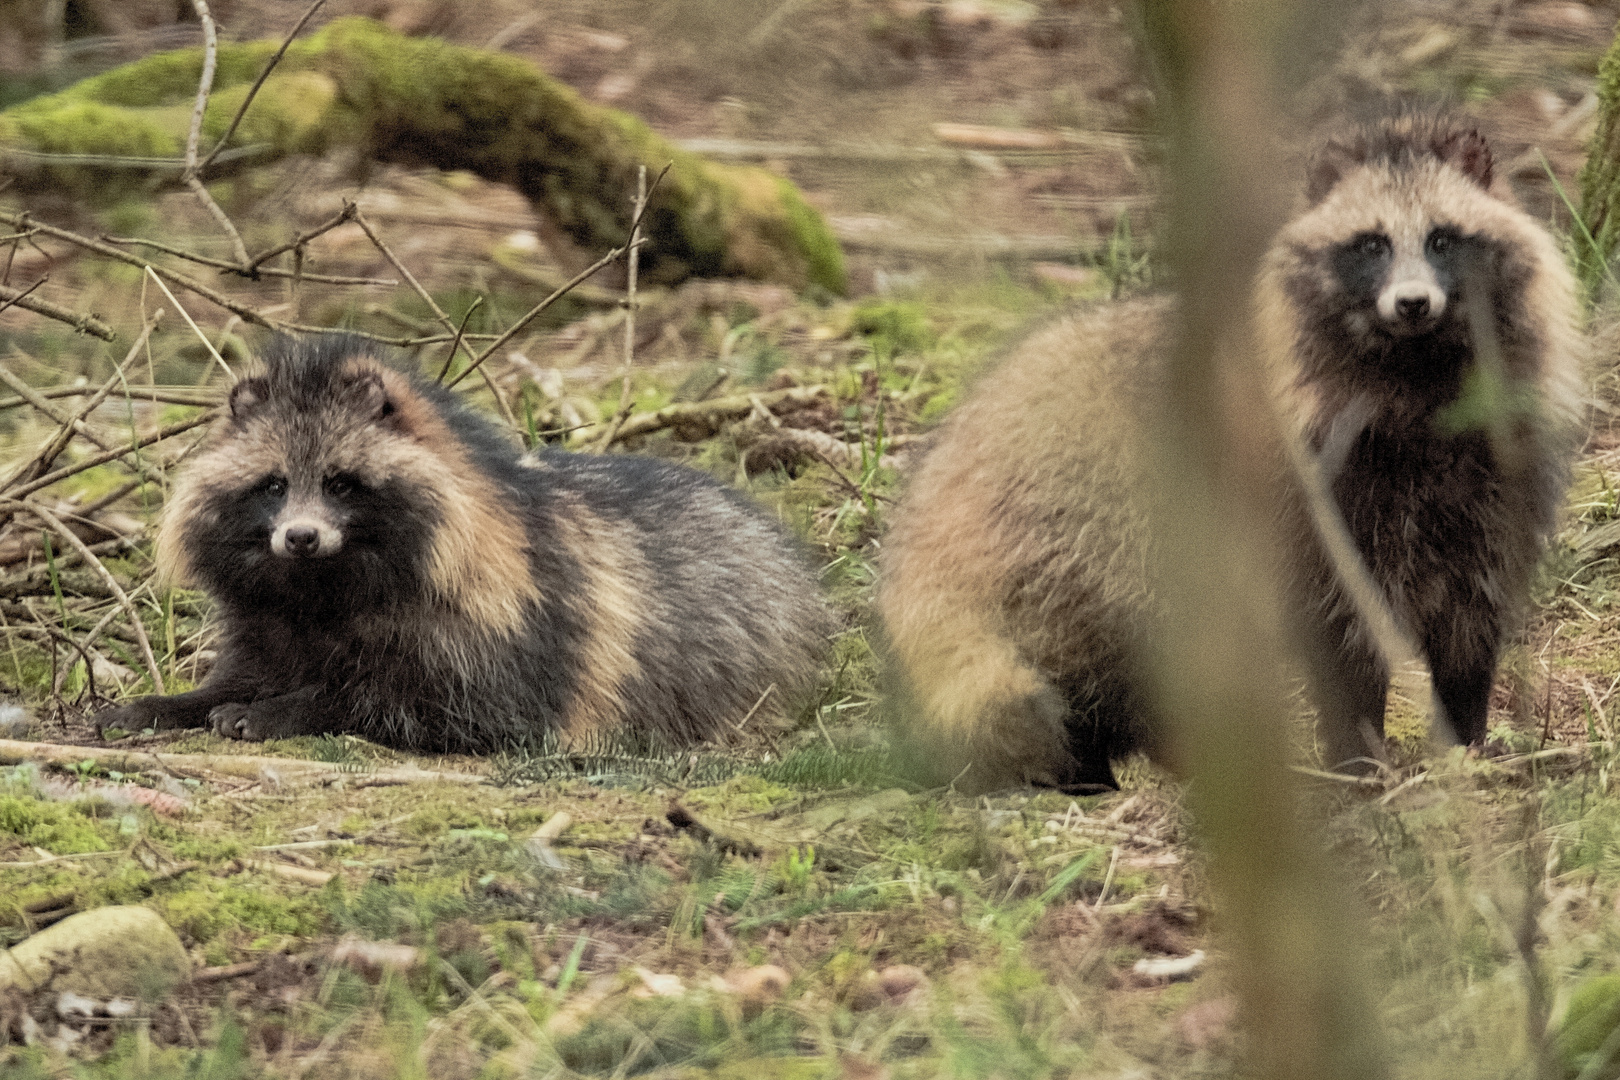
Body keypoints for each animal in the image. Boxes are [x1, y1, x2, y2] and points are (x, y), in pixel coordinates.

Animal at [99, 335, 829, 751]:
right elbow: (241, 672)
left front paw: (293, 707)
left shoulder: (499, 630)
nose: (301, 537)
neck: (325, 586)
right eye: (274, 484)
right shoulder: (267, 620)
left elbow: (427, 705)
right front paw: (175, 702)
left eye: (340, 483)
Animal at [881, 111, 1587, 793]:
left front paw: (1466, 741)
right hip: (1092, 533)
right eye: (1371, 245)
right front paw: (1357, 756)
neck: (1415, 375)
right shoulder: (1315, 495)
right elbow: (1340, 635)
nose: (1412, 302)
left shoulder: (1493, 481)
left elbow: (1471, 622)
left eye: (1442, 239)